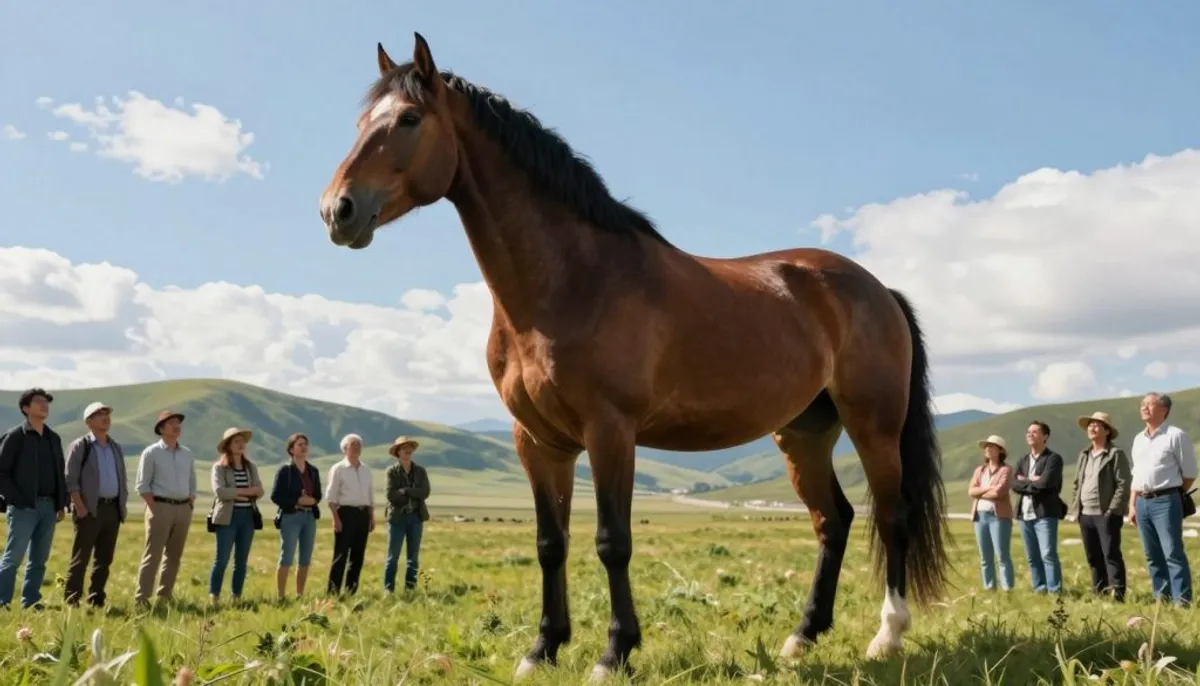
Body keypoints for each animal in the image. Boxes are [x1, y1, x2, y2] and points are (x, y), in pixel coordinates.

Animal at [319, 33, 951, 682]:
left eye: (410, 119)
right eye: (362, 122)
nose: (337, 211)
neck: (571, 282)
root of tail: (877, 288)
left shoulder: (610, 431)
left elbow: (611, 542)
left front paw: (614, 651)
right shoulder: (538, 441)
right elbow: (551, 544)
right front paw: (542, 649)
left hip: (873, 425)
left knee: (892, 514)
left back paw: (887, 636)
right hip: (803, 432)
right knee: (833, 519)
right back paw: (803, 636)